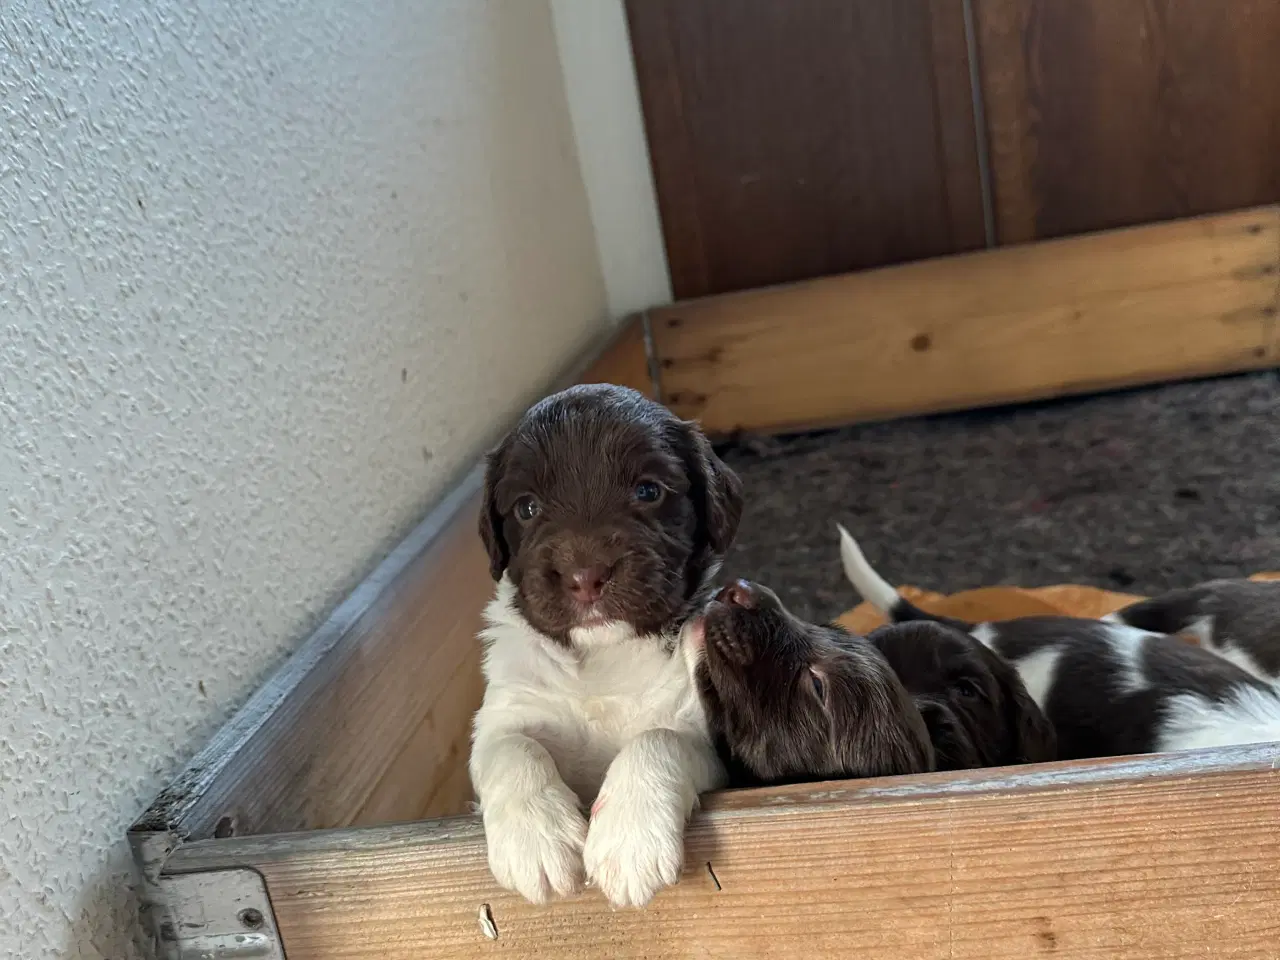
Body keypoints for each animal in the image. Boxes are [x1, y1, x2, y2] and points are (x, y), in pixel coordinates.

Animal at [471, 384, 747, 911]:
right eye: (527, 508)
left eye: (648, 491)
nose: (586, 578)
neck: (603, 657)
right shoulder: (506, 710)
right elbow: (512, 746)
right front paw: (536, 839)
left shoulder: (706, 733)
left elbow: (658, 737)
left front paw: (628, 840)